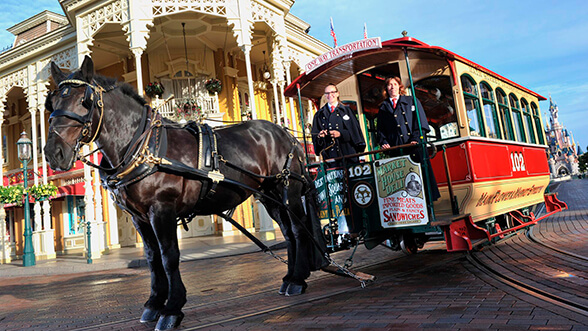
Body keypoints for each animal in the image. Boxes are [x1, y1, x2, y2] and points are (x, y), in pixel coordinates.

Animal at [43, 57, 328, 331]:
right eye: (51, 103)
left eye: (85, 101)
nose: (53, 152)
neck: (141, 147)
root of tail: (285, 134)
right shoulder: (139, 217)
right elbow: (152, 258)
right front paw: (154, 303)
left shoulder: (162, 209)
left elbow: (169, 256)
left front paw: (172, 309)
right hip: (269, 196)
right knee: (288, 232)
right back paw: (290, 278)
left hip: (288, 191)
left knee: (298, 229)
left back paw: (298, 279)